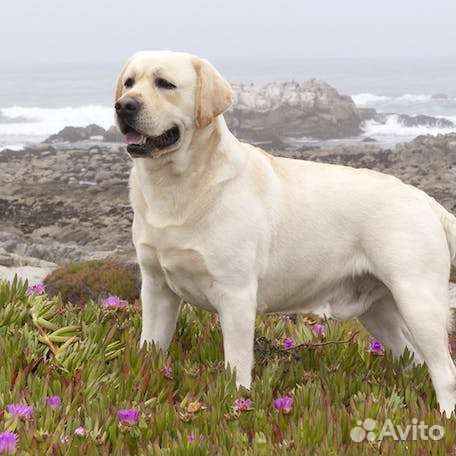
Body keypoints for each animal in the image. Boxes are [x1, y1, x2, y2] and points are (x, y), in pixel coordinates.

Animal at [116, 51, 456, 416]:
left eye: (165, 84)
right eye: (129, 83)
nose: (124, 106)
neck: (176, 186)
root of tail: (425, 199)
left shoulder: (236, 295)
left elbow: (236, 364)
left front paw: (237, 404)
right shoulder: (157, 288)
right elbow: (151, 348)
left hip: (417, 300)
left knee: (445, 371)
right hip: (378, 310)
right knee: (414, 359)